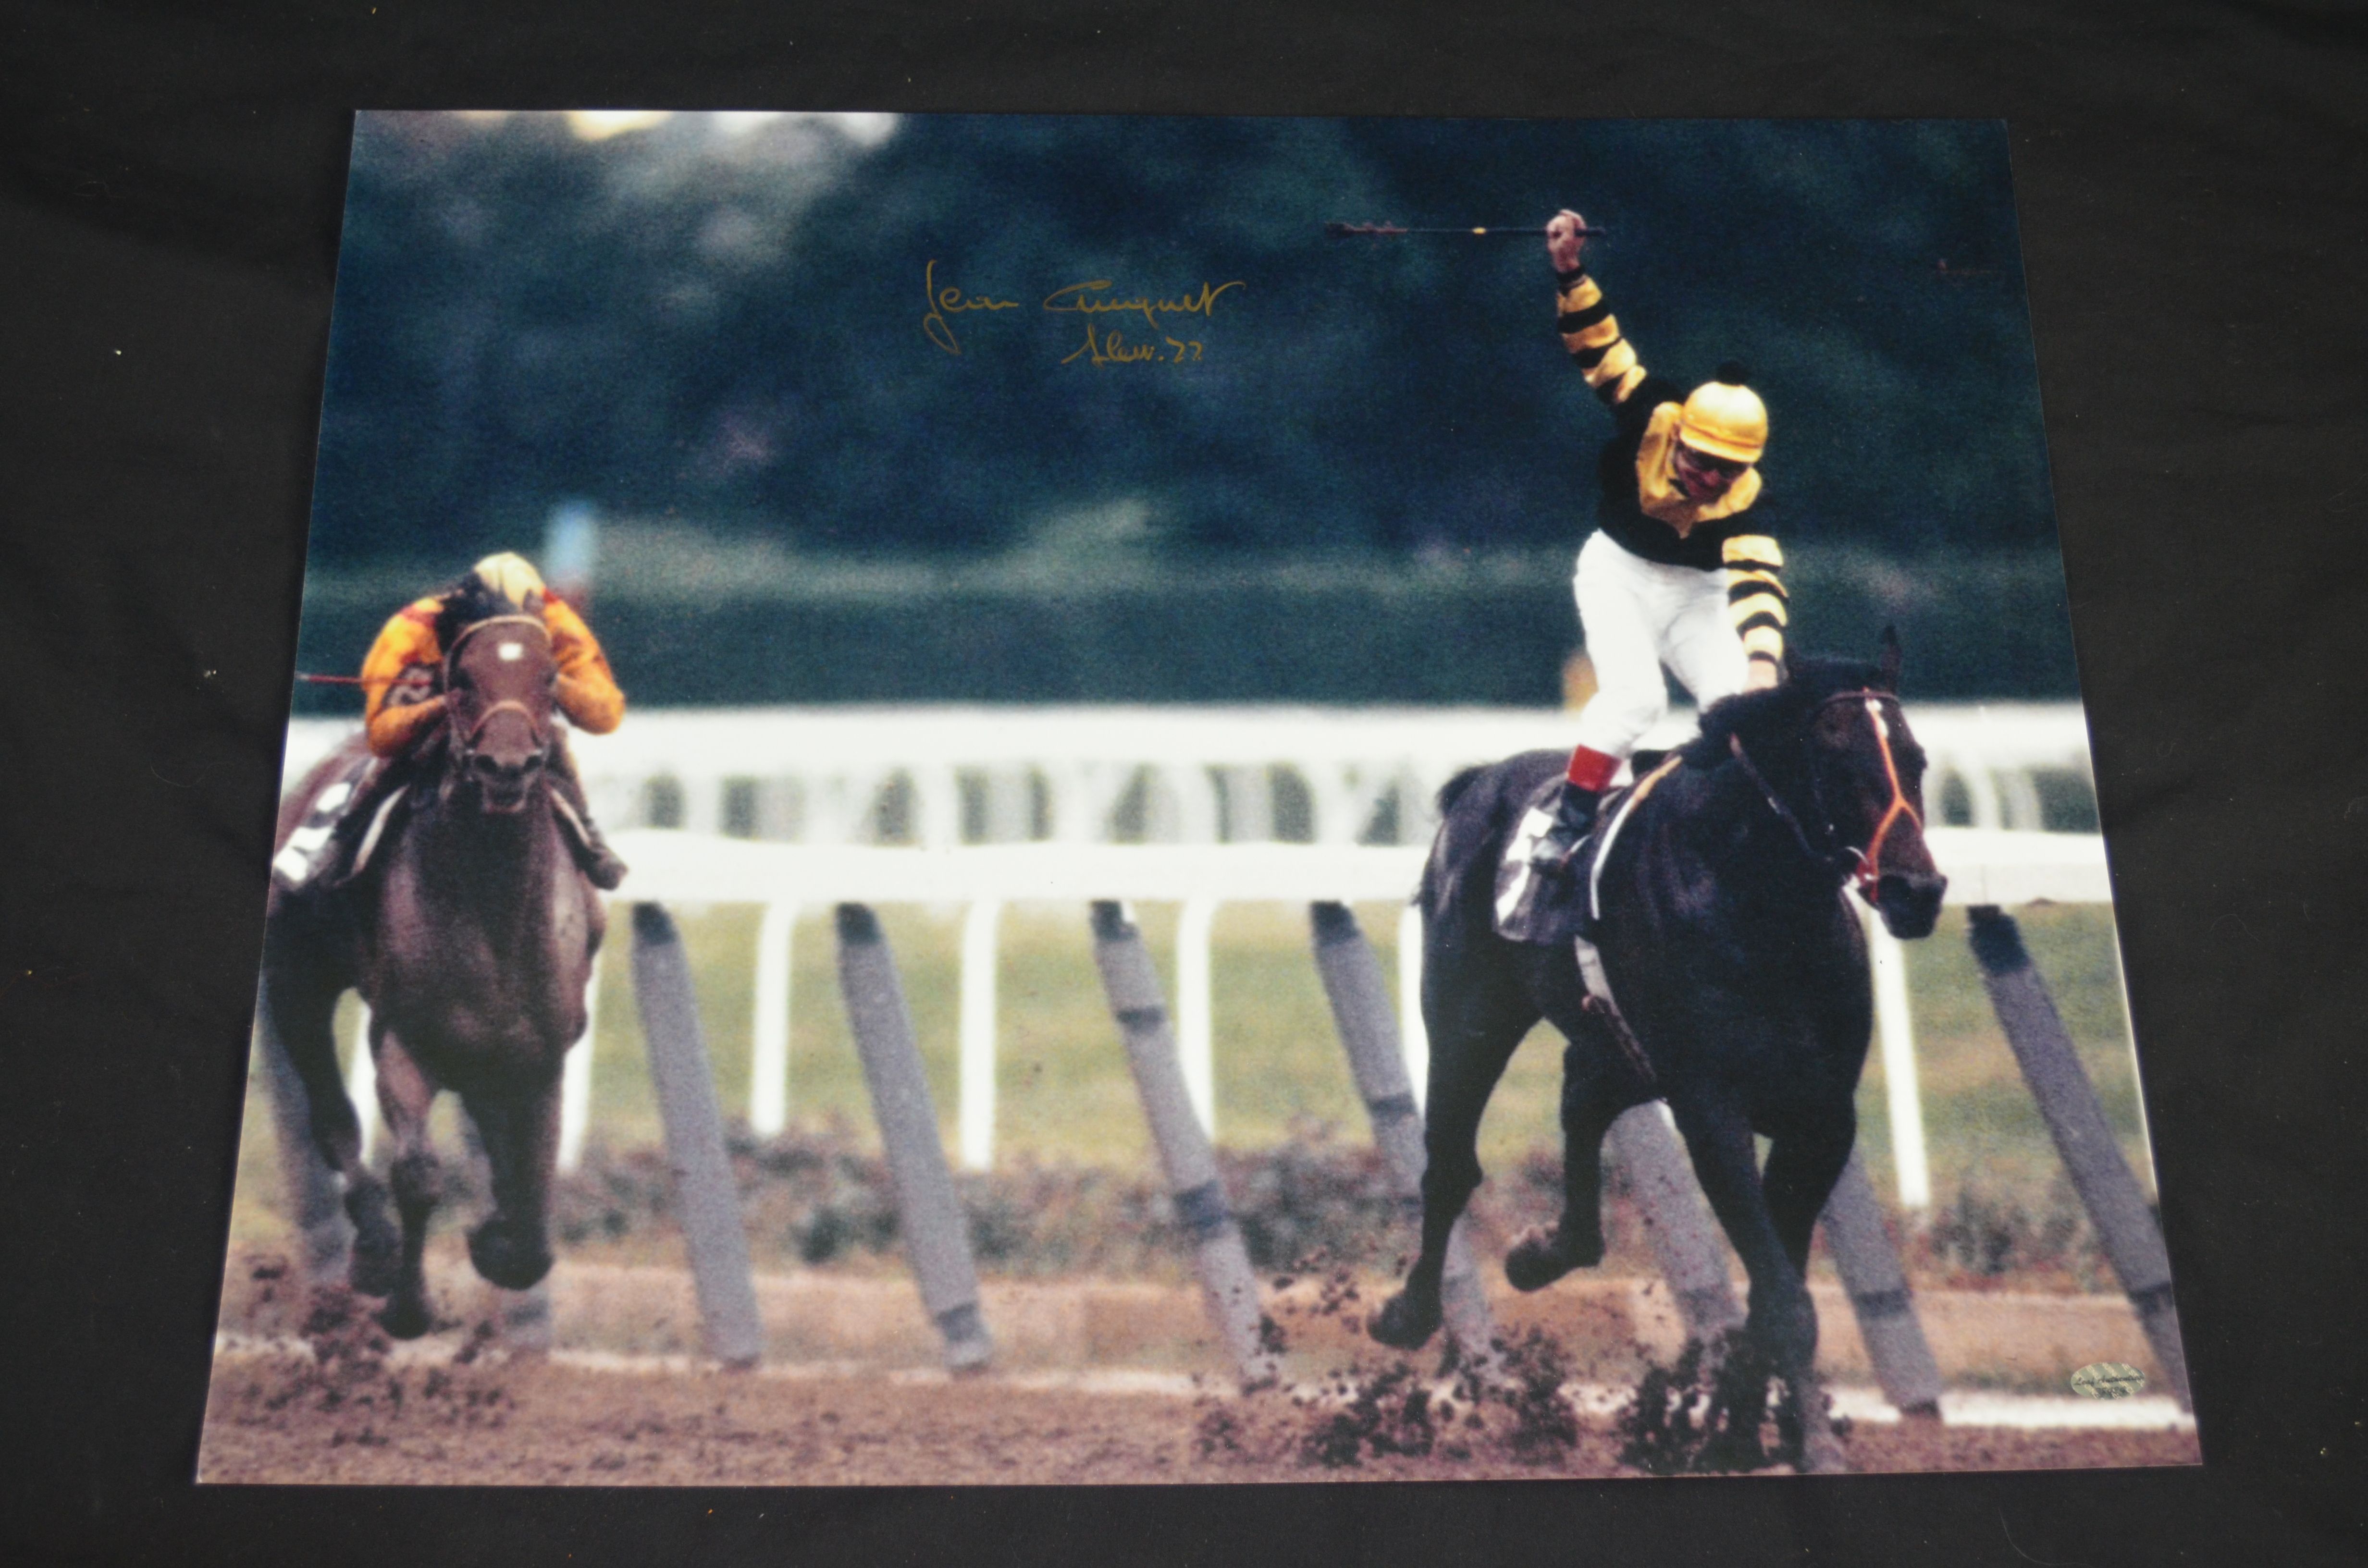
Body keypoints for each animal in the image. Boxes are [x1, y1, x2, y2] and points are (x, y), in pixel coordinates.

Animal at [260, 589, 606, 1335]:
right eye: (465, 679)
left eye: (548, 679)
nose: (507, 766)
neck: (494, 909)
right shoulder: (404, 1039)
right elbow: (418, 1174)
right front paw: (407, 1303)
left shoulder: (541, 1056)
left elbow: (533, 1197)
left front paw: (496, 1240)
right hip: (298, 981)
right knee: (332, 1119)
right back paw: (372, 1246)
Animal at [1373, 639, 1941, 1478]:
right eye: (1838, 760)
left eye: (1915, 759)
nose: (1916, 890)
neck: (1761, 905)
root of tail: (1481, 781)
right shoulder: (1713, 1111)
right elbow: (1784, 1299)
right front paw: (1809, 1447)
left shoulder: (1820, 1119)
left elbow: (1772, 1289)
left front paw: (1738, 1433)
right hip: (1469, 1016)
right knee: (1450, 1165)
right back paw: (1408, 1313)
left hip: (1619, 1047)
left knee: (1581, 1099)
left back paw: (1542, 1253)